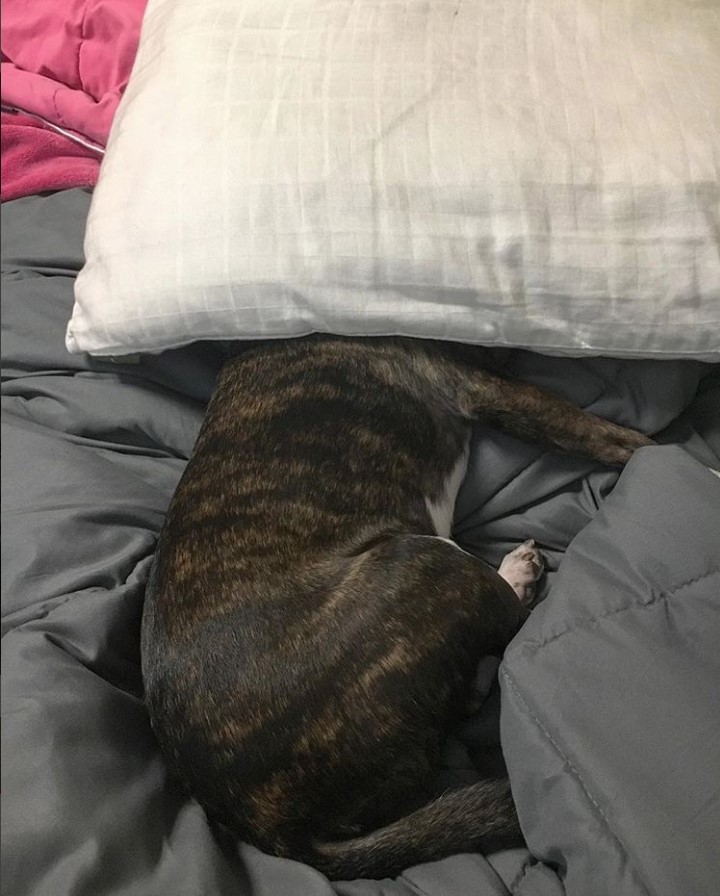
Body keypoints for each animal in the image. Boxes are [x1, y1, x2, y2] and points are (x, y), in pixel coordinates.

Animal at [141, 334, 652, 876]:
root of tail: (272, 829)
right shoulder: (478, 384)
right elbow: (596, 431)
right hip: (425, 563)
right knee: (509, 632)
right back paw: (518, 584)